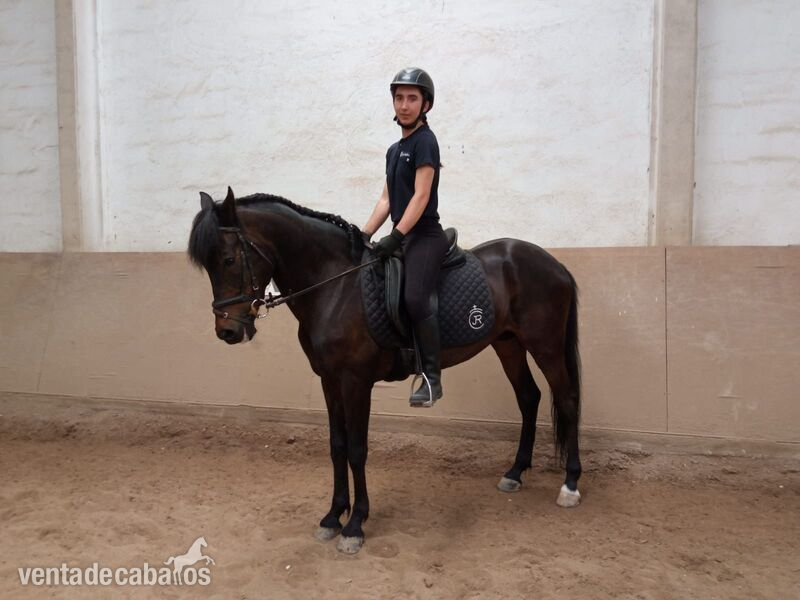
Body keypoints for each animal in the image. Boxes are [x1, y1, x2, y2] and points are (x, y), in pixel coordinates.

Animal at [188, 187, 582, 555]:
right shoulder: (329, 380)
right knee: (529, 397)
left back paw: (570, 485)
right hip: (508, 343)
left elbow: (357, 449)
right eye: (208, 266)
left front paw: (355, 525)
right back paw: (515, 473)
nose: (227, 332)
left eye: (228, 259)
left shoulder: (356, 382)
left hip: (545, 346)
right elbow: (337, 445)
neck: (335, 285)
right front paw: (333, 516)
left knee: (567, 400)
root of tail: (554, 264)